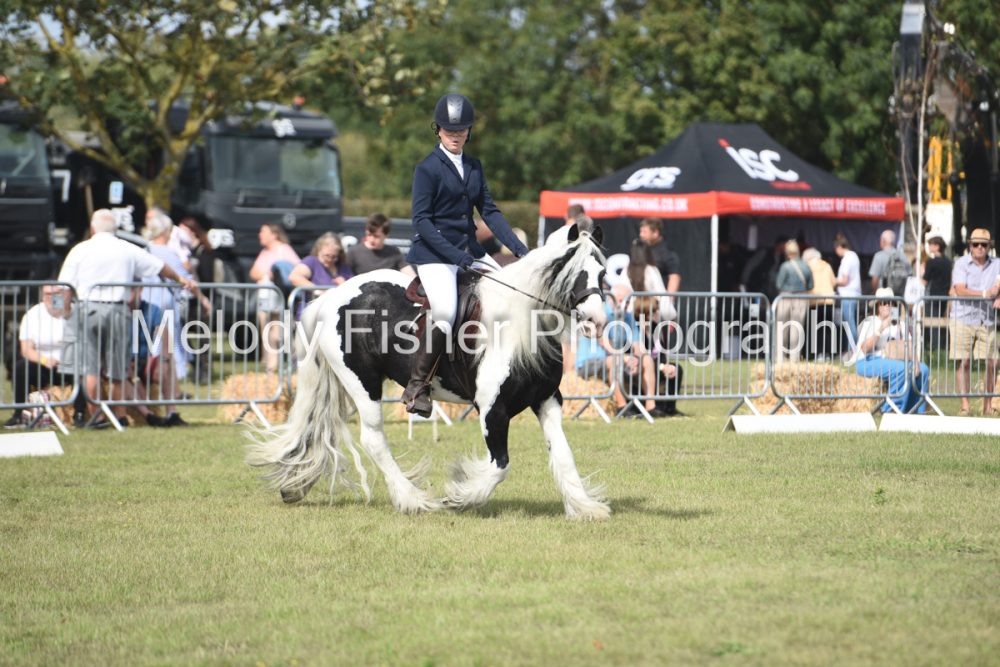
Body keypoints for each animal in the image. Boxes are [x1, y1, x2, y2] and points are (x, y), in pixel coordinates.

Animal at [247, 223, 611, 520]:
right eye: (573, 272)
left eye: (603, 273)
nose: (597, 321)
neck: (519, 324)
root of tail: (331, 297)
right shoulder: (492, 410)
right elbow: (499, 467)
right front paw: (460, 497)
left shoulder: (547, 400)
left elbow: (563, 455)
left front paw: (584, 507)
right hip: (362, 383)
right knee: (373, 439)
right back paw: (412, 499)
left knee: (319, 428)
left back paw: (296, 486)